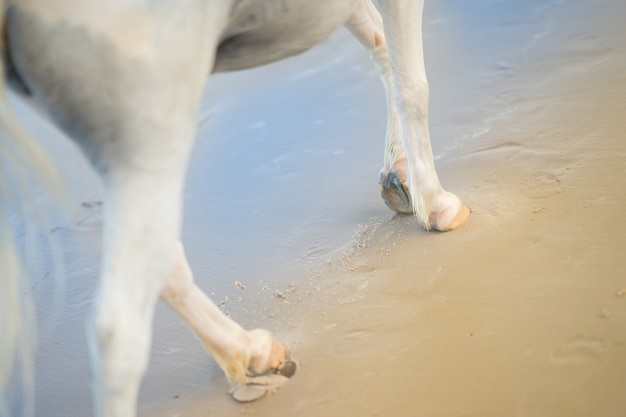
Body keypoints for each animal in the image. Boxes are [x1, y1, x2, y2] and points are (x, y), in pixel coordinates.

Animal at [0, 0, 468, 414]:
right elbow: (413, 83)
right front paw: (435, 203)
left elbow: (379, 43)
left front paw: (400, 174)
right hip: (148, 132)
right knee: (117, 333)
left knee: (163, 264)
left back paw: (252, 356)